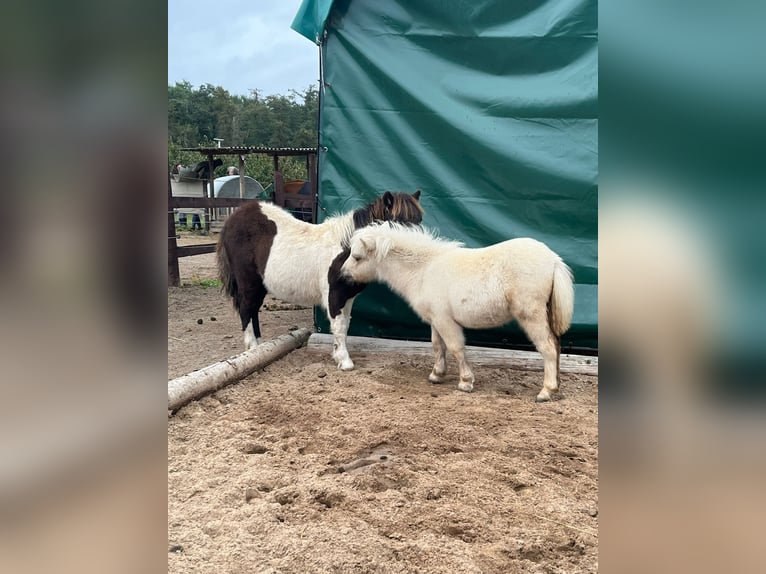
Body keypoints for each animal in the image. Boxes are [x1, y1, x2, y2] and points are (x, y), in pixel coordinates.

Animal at [219, 191, 426, 372]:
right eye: (399, 223)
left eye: (419, 221)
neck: (347, 251)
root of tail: (234, 218)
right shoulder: (335, 295)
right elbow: (338, 326)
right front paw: (344, 361)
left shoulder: (347, 298)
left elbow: (345, 325)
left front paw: (338, 355)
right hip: (248, 282)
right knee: (247, 310)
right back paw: (253, 349)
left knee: (253, 310)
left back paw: (260, 349)